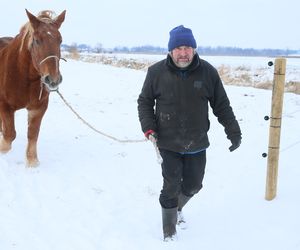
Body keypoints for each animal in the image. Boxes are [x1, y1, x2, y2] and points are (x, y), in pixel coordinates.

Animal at [0, 9, 66, 167]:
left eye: (60, 40)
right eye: (36, 40)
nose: (53, 80)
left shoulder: (38, 108)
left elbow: (33, 134)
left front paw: (32, 162)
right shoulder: (5, 105)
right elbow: (9, 135)